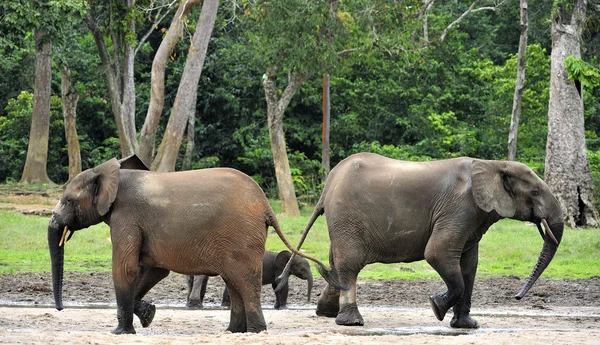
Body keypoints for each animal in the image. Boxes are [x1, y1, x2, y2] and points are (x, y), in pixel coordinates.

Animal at [47, 155, 328, 334]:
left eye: (69, 200)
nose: (60, 309)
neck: (109, 172)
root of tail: (266, 206)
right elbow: (154, 270)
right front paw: (148, 315)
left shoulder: (126, 216)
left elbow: (125, 268)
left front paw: (120, 333)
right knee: (234, 281)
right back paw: (234, 332)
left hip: (241, 236)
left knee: (245, 281)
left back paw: (256, 332)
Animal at [280, 153, 564, 328]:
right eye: (535, 192)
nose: (517, 297)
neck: (493, 164)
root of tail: (328, 184)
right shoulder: (459, 209)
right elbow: (437, 253)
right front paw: (436, 307)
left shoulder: (472, 216)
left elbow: (469, 265)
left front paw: (466, 326)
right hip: (346, 216)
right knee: (349, 264)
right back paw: (351, 322)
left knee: (335, 263)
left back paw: (327, 313)